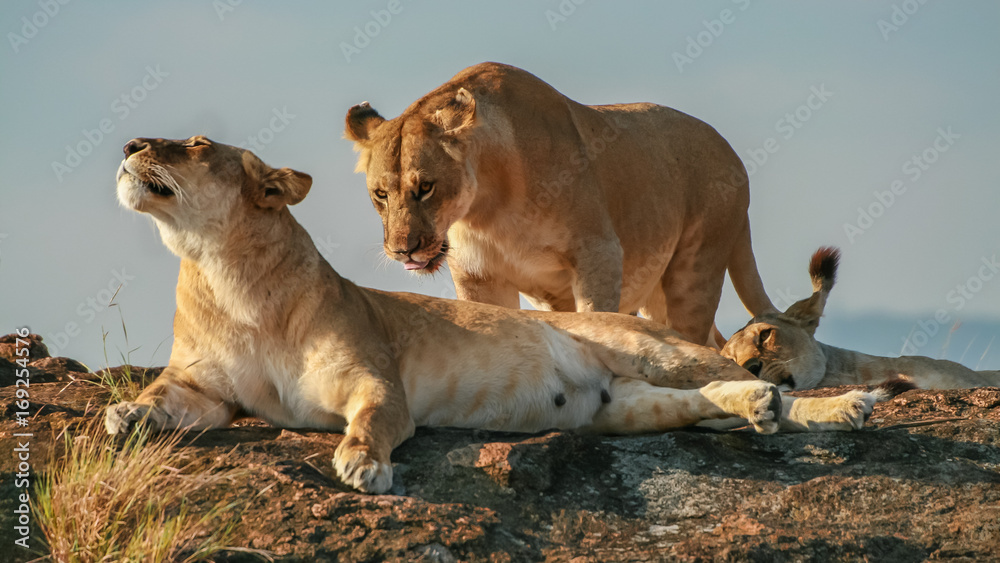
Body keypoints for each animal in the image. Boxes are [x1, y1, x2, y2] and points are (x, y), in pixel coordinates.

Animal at [106, 136, 894, 494]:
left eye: (195, 145)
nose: (130, 144)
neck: (225, 274)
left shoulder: (374, 379)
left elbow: (374, 421)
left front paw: (362, 463)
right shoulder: (210, 391)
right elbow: (165, 398)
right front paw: (124, 414)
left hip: (652, 346)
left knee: (775, 384)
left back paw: (846, 405)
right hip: (623, 408)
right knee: (718, 397)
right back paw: (758, 407)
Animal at [344, 62, 777, 347]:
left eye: (426, 187)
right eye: (381, 195)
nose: (403, 250)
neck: (486, 209)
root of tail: (731, 152)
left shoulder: (599, 252)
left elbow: (600, 322)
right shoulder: (479, 276)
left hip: (695, 269)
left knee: (700, 340)